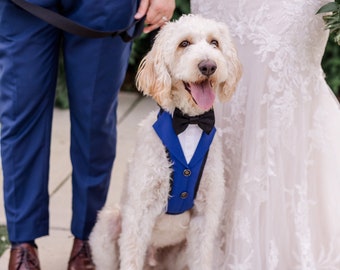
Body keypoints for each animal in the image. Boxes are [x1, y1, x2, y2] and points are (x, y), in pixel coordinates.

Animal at [89, 14, 240, 270]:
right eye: (184, 44)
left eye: (215, 43)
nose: (208, 66)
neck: (190, 122)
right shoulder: (139, 214)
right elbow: (131, 257)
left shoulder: (205, 217)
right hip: (107, 227)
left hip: (178, 255)